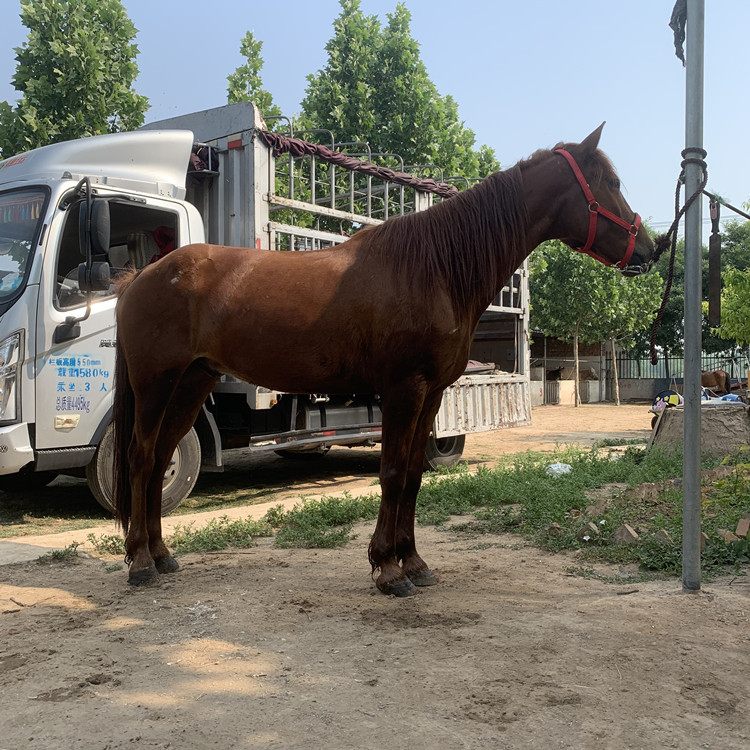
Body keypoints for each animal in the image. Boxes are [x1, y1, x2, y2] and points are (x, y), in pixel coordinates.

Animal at [113, 123, 657, 596]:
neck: (433, 268)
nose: (651, 249)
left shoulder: (432, 393)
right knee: (141, 457)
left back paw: (162, 555)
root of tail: (142, 277)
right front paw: (388, 569)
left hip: (192, 382)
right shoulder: (404, 389)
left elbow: (413, 476)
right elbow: (393, 473)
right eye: (611, 183)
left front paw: (414, 562)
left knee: (160, 456)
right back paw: (139, 562)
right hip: (155, 382)